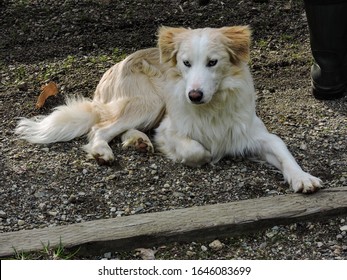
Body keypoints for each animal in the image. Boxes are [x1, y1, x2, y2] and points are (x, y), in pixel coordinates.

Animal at [14, 25, 322, 192]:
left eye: (212, 62)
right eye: (186, 63)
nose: (194, 95)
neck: (212, 107)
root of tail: (113, 69)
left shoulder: (255, 134)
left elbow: (283, 151)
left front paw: (302, 178)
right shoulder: (169, 130)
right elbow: (199, 150)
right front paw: (201, 155)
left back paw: (137, 141)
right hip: (151, 102)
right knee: (101, 128)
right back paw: (104, 151)